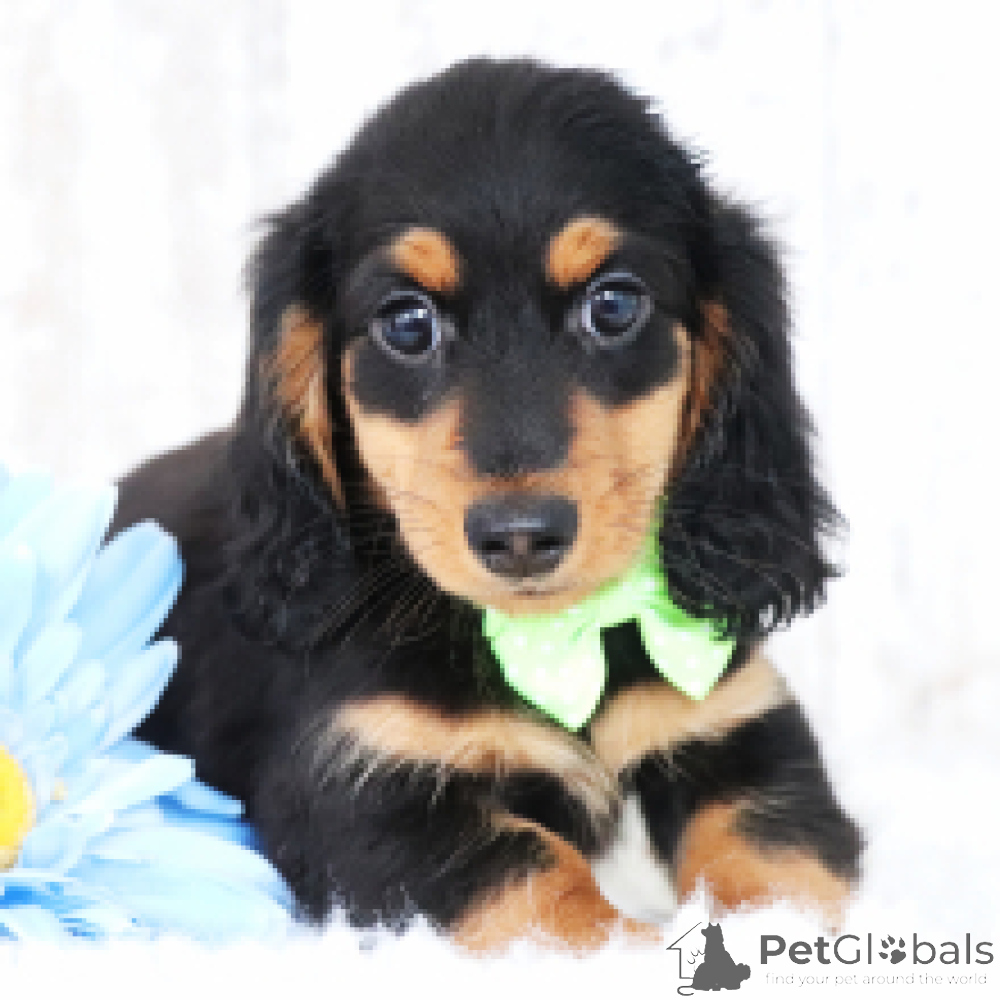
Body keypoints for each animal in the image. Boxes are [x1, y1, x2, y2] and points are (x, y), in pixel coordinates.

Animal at [111, 58, 862, 951]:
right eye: (407, 322)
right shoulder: (364, 794)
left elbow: (779, 866)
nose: (521, 537)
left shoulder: (738, 728)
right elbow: (547, 885)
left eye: (614, 305)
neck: (558, 640)